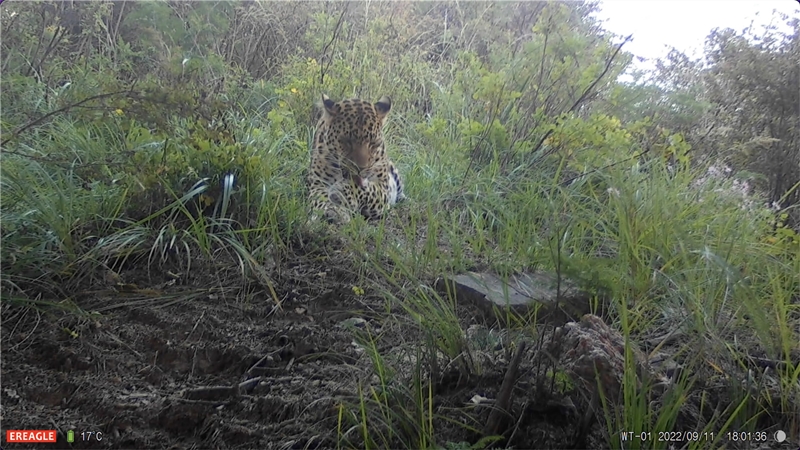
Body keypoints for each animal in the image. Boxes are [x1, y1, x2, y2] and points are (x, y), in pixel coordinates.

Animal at [306, 94, 406, 224]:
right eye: (346, 141)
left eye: (373, 143)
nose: (361, 168)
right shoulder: (318, 184)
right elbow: (320, 199)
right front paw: (333, 211)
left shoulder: (383, 187)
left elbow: (367, 190)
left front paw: (343, 192)